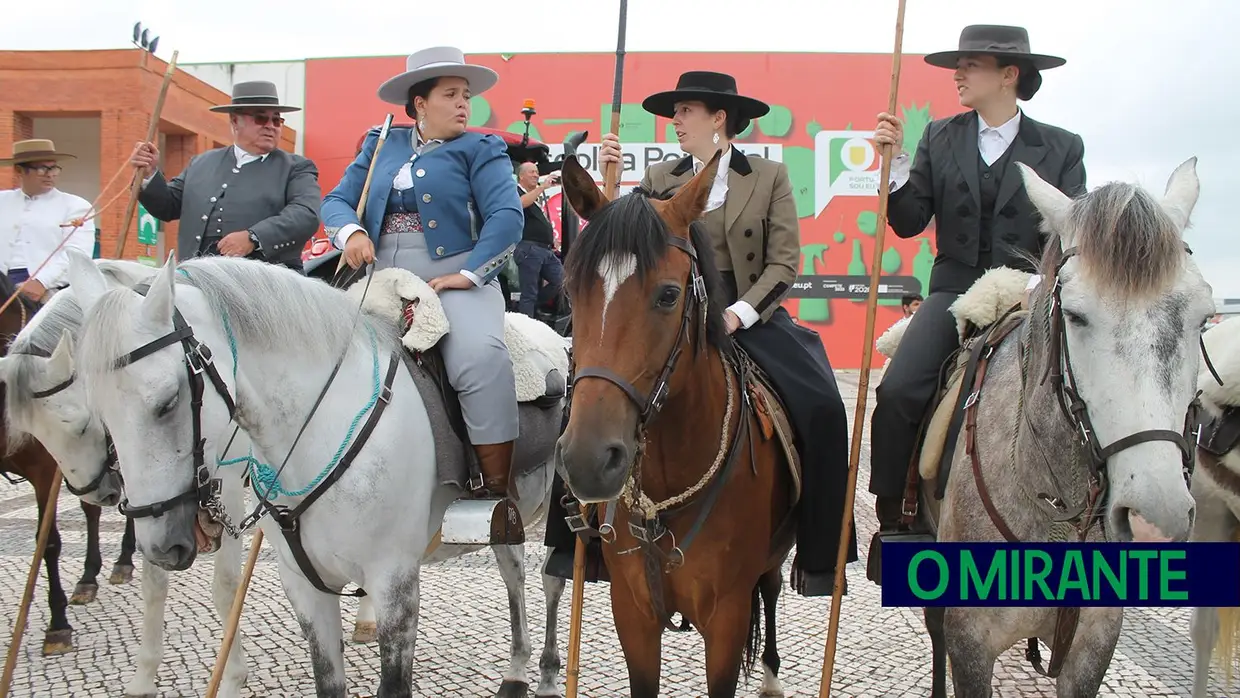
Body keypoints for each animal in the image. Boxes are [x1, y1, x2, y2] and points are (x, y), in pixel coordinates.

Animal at [0, 273, 135, 654]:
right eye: (32, 430)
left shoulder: (46, 472)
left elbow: (49, 542)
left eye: (81, 424)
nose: (103, 492)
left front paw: (57, 624)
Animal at [65, 252, 567, 698]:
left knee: (550, 579)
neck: (318, 430)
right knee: (515, 573)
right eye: (100, 415)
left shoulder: (394, 584)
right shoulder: (305, 587)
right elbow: (329, 681)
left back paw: (542, 672)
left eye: (167, 402)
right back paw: (518, 669)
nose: (159, 547)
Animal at [558, 150, 798, 694]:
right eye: (569, 291)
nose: (588, 460)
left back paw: (773, 674)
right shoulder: (633, 614)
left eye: (668, 295)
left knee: (772, 588)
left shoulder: (727, 619)